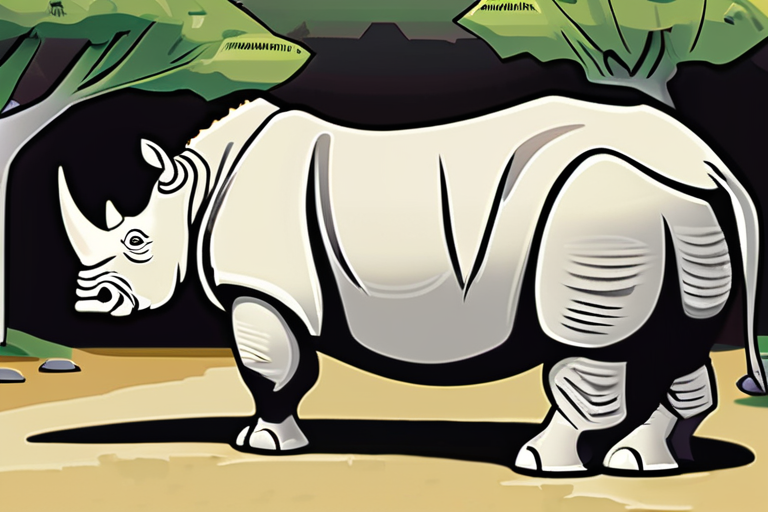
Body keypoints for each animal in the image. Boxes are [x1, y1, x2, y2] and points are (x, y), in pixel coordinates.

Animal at [58, 96, 766, 474]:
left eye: (136, 242)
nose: (88, 299)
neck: (197, 188)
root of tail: (703, 157)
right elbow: (287, 369)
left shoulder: (261, 289)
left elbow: (273, 369)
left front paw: (264, 446)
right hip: (676, 206)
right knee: (679, 339)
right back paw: (651, 461)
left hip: (601, 202)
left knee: (587, 342)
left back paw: (541, 462)